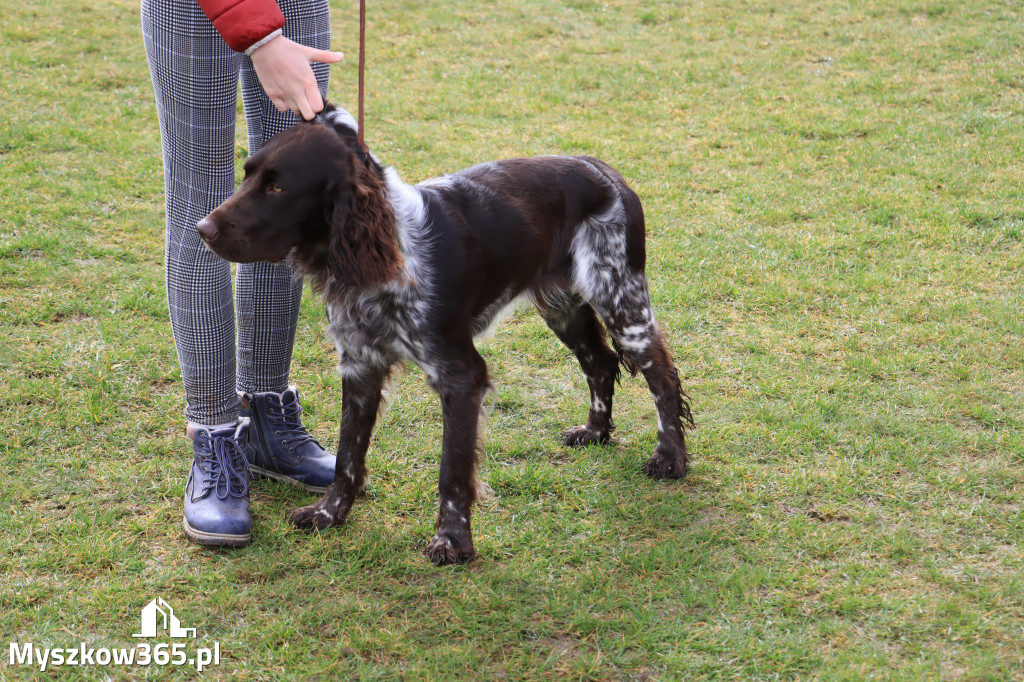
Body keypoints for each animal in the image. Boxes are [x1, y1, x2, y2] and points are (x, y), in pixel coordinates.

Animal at [197, 103, 696, 561]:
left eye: (277, 187)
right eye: (247, 175)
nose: (202, 228)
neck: (385, 251)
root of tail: (604, 170)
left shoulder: (460, 375)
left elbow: (452, 470)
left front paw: (453, 540)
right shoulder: (360, 366)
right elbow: (347, 455)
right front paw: (329, 514)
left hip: (621, 299)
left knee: (661, 375)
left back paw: (670, 458)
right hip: (562, 307)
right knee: (600, 363)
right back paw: (595, 432)